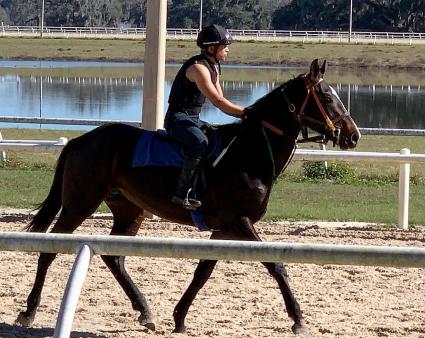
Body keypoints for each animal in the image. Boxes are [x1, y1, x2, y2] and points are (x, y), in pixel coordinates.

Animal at [14, 59, 358, 336]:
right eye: (327, 96)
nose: (353, 135)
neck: (249, 153)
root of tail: (81, 140)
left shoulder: (224, 228)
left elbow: (203, 270)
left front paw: (179, 317)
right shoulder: (240, 222)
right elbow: (276, 265)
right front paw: (298, 318)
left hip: (130, 210)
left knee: (114, 257)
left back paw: (145, 311)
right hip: (79, 203)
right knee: (48, 251)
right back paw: (29, 311)